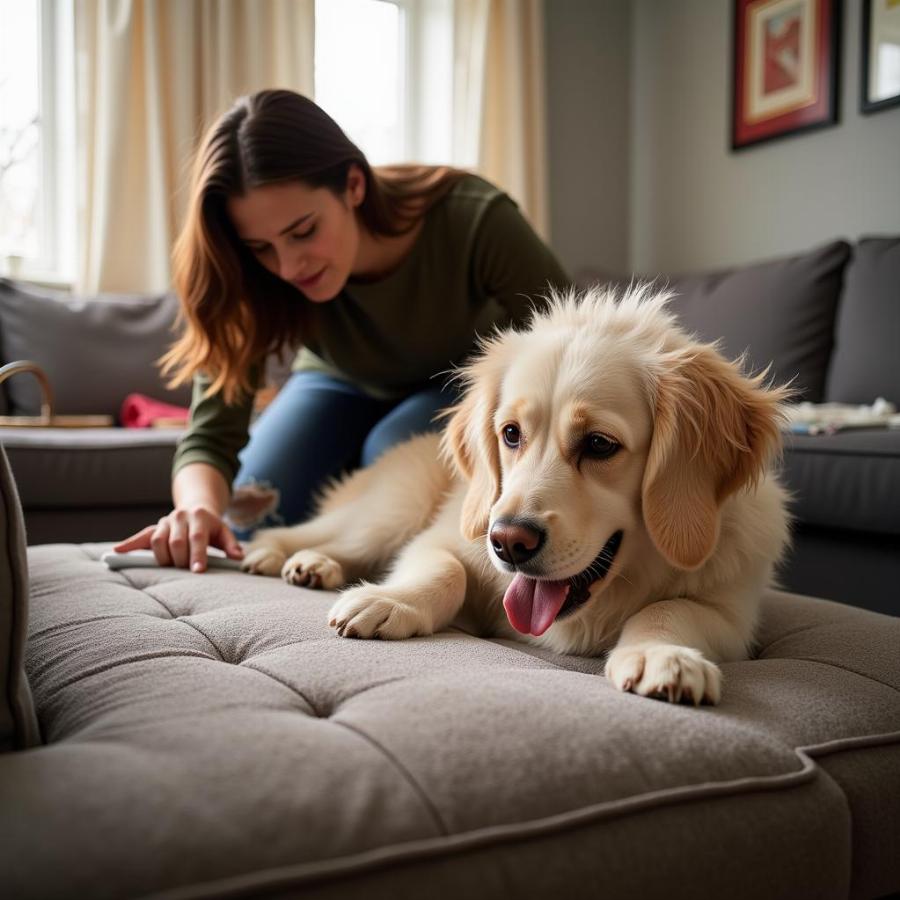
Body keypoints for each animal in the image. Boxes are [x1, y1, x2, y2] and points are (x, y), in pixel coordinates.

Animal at [243, 286, 792, 704]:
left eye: (599, 444)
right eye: (511, 434)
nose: (508, 542)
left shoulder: (733, 611)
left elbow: (669, 609)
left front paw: (663, 656)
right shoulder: (442, 538)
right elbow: (444, 571)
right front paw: (391, 600)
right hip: (390, 514)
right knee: (320, 534)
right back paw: (284, 556)